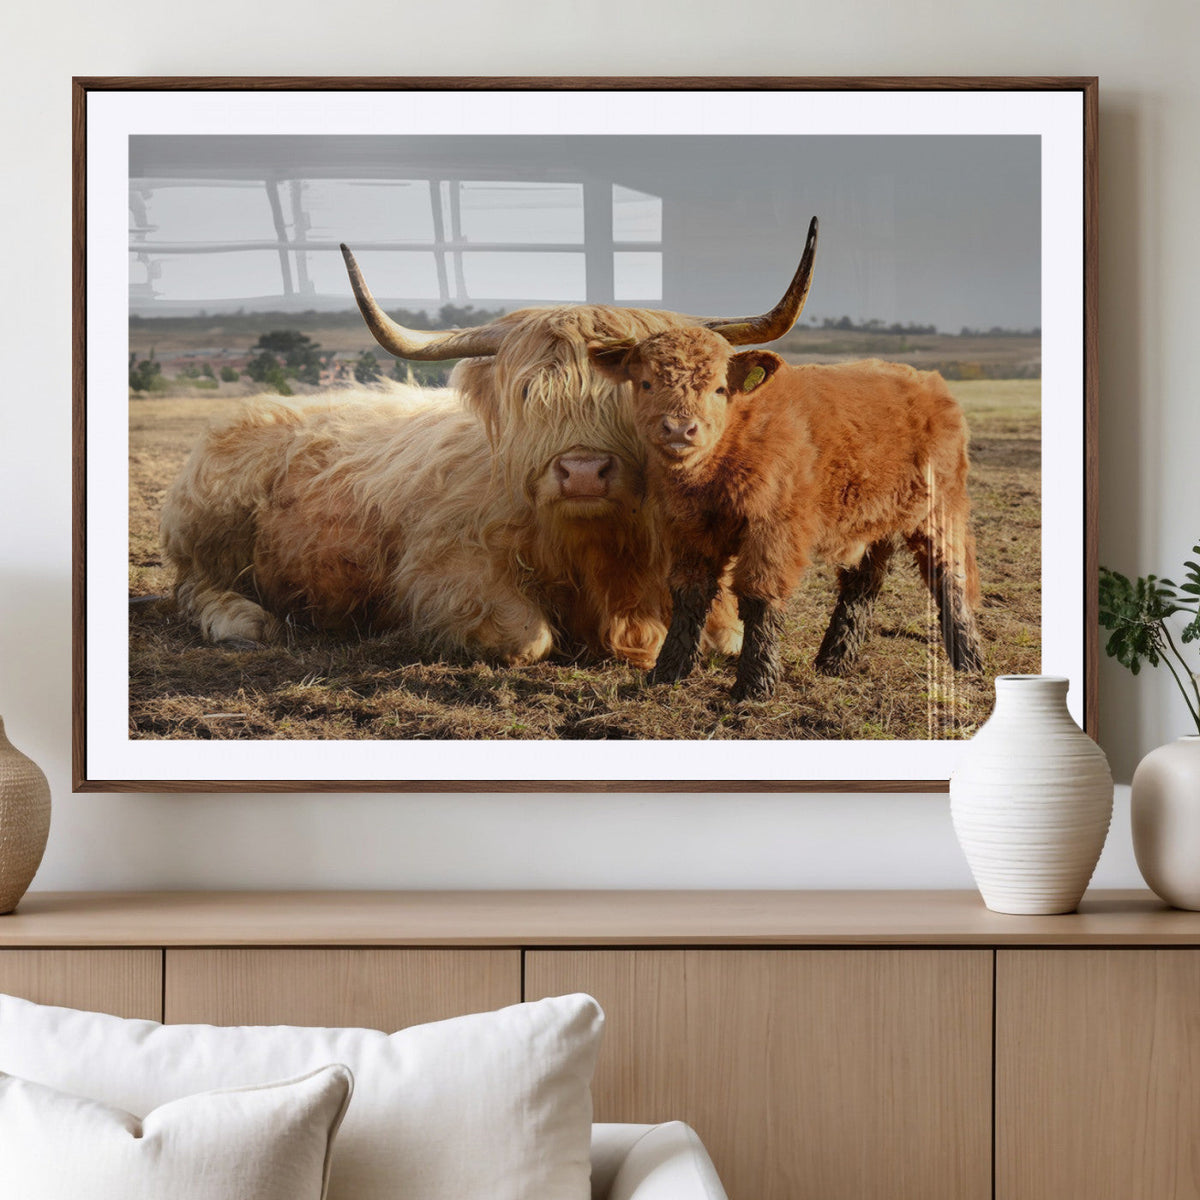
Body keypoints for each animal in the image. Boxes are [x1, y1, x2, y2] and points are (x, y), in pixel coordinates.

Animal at [159, 219, 820, 669]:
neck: (601, 550)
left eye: (639, 388)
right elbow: (527, 637)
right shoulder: (442, 569)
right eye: (528, 392)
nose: (583, 472)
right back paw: (243, 620)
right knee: (194, 588)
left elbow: (726, 633)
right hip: (211, 528)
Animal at [588, 326, 984, 699]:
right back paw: (835, 660)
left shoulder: (774, 529)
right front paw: (667, 673)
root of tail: (929, 381)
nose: (680, 429)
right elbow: (690, 593)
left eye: (719, 388)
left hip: (939, 511)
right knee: (862, 585)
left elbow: (759, 596)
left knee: (949, 576)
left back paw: (969, 661)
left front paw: (755, 684)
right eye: (646, 382)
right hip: (871, 521)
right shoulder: (688, 528)